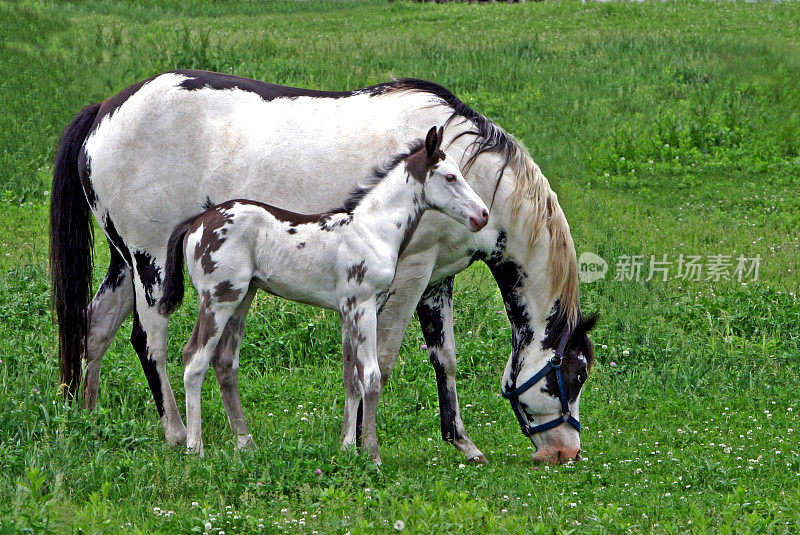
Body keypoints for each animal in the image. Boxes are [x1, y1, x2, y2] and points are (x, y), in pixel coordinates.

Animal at [158, 126, 488, 460]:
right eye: (450, 177)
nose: (483, 215)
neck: (371, 231)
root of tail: (196, 222)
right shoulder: (362, 306)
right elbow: (371, 377)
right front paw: (371, 454)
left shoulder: (347, 311)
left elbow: (351, 379)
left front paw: (347, 448)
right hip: (218, 299)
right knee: (194, 359)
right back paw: (195, 447)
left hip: (241, 298)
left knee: (224, 364)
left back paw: (246, 443)